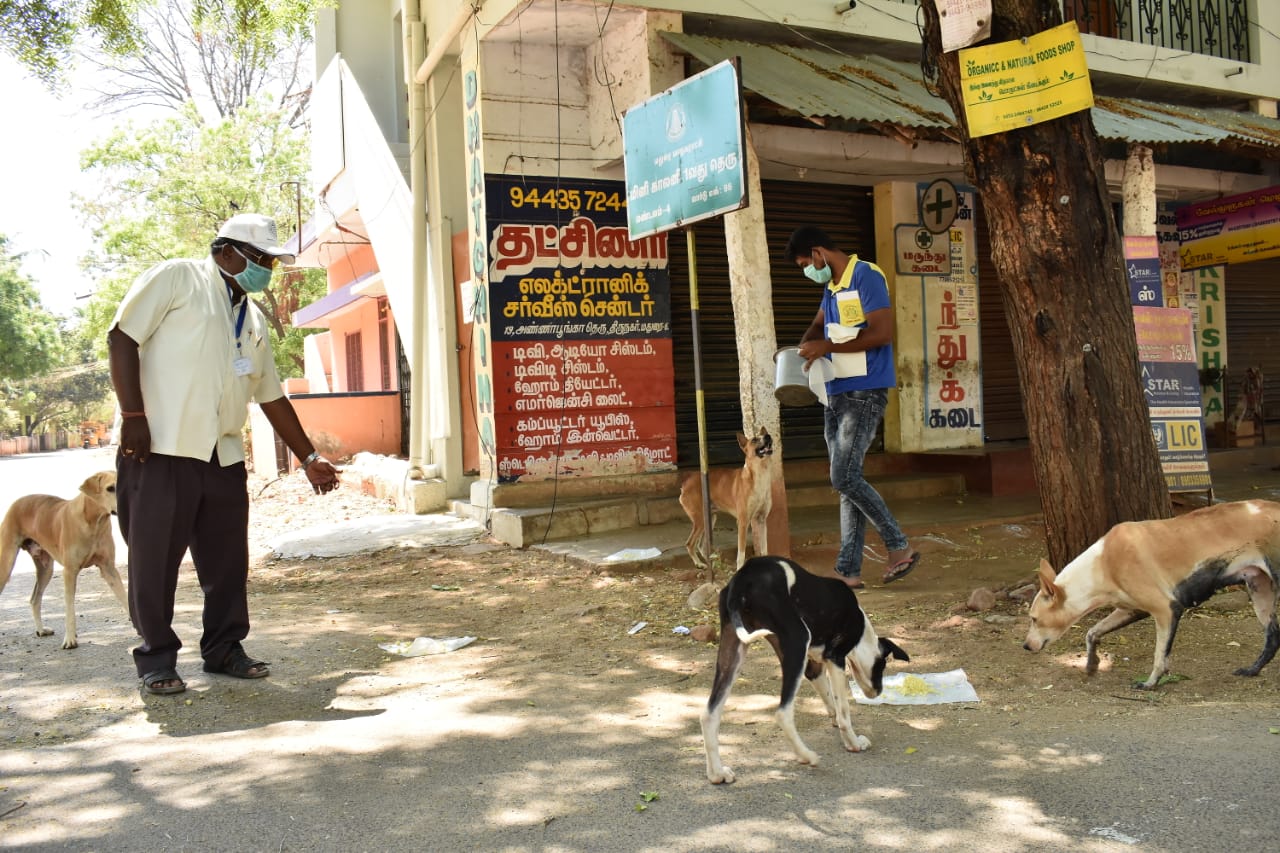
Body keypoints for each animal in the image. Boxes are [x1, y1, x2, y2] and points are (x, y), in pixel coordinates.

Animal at [0, 471, 128, 645]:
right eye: (110, 488)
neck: (93, 522)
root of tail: (17, 502)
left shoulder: (109, 569)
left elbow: (126, 598)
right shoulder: (69, 572)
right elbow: (70, 608)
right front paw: (70, 639)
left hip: (46, 569)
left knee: (35, 599)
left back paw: (41, 630)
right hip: (6, 563)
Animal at [675, 425, 773, 571]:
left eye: (766, 435)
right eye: (755, 439)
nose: (768, 437)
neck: (760, 475)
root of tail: (688, 479)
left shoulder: (761, 520)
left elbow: (765, 549)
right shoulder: (743, 522)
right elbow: (741, 555)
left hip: (710, 519)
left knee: (701, 545)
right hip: (700, 520)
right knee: (690, 543)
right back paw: (699, 564)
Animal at [701, 555, 911, 778]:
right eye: (883, 666)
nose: (878, 691)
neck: (861, 628)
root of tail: (742, 580)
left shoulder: (814, 668)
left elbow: (831, 701)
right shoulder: (836, 659)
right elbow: (844, 713)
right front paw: (854, 744)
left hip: (733, 653)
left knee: (709, 716)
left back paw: (717, 774)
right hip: (798, 642)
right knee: (783, 714)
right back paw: (806, 756)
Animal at [1018, 494, 1280, 686]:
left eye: (1034, 619)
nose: (1025, 646)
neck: (1102, 564)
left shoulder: (1166, 609)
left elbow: (1159, 655)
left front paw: (1151, 682)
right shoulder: (1131, 610)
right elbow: (1092, 632)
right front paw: (1092, 663)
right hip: (1260, 591)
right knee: (1273, 636)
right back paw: (1253, 670)